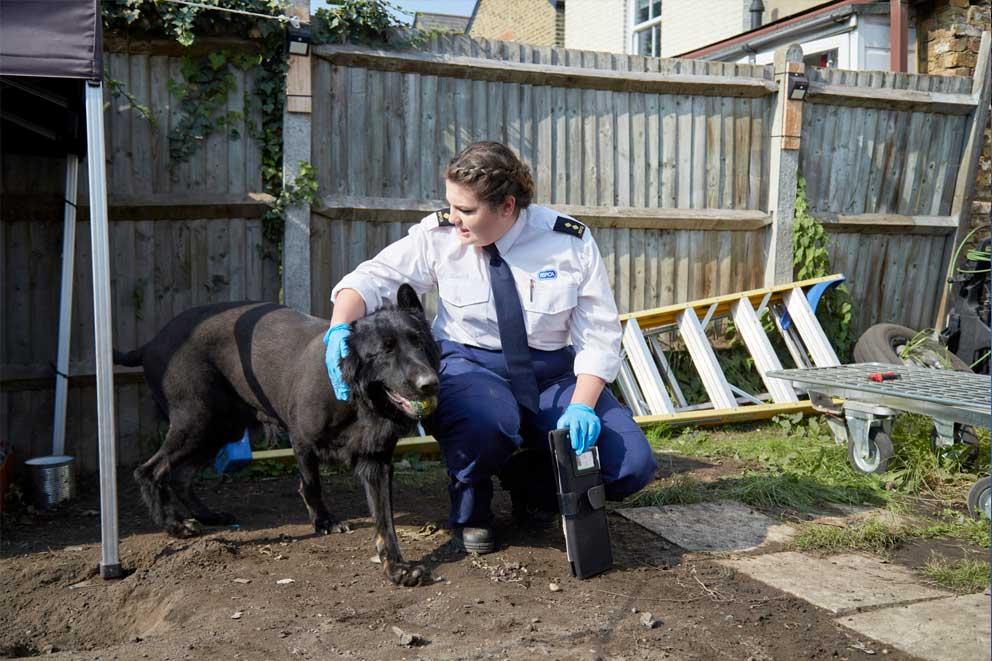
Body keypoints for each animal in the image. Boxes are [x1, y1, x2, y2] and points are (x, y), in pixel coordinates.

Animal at [114, 282, 440, 584]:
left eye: (419, 341)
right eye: (386, 350)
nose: (430, 383)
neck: (358, 398)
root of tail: (151, 342)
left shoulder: (377, 463)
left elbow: (384, 523)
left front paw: (397, 568)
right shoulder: (302, 441)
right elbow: (311, 485)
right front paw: (324, 521)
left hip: (219, 428)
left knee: (181, 476)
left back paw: (207, 516)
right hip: (196, 421)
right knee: (149, 471)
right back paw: (175, 525)